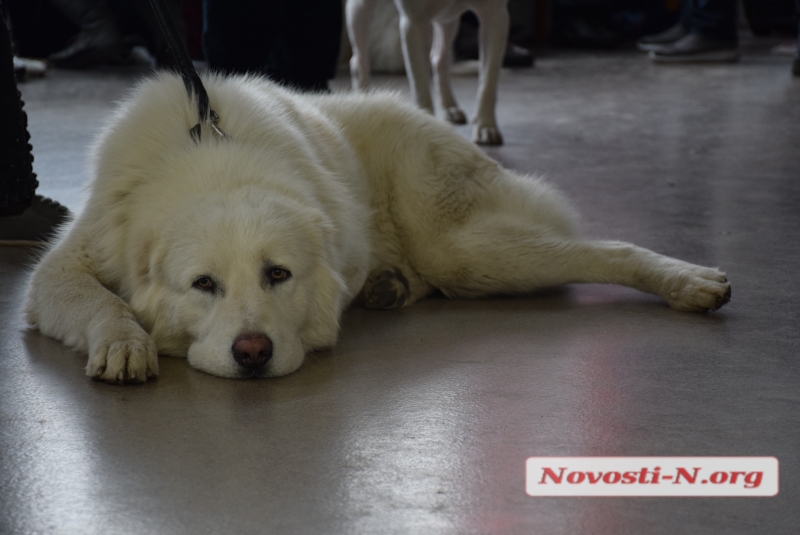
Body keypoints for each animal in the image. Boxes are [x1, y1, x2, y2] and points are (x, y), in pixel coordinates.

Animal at [23, 74, 732, 386]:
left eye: (277, 274)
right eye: (203, 285)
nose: (252, 352)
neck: (211, 160)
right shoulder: (59, 272)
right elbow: (101, 299)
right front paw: (125, 342)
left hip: (462, 251)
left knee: (606, 248)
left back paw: (690, 281)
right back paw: (388, 288)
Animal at [346, 0, 510, 146]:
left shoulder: (495, 17)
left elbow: (488, 83)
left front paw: (486, 126)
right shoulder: (414, 23)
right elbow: (421, 86)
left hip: (448, 18)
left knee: (440, 59)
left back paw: (449, 107)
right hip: (360, 9)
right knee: (358, 60)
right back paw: (365, 101)